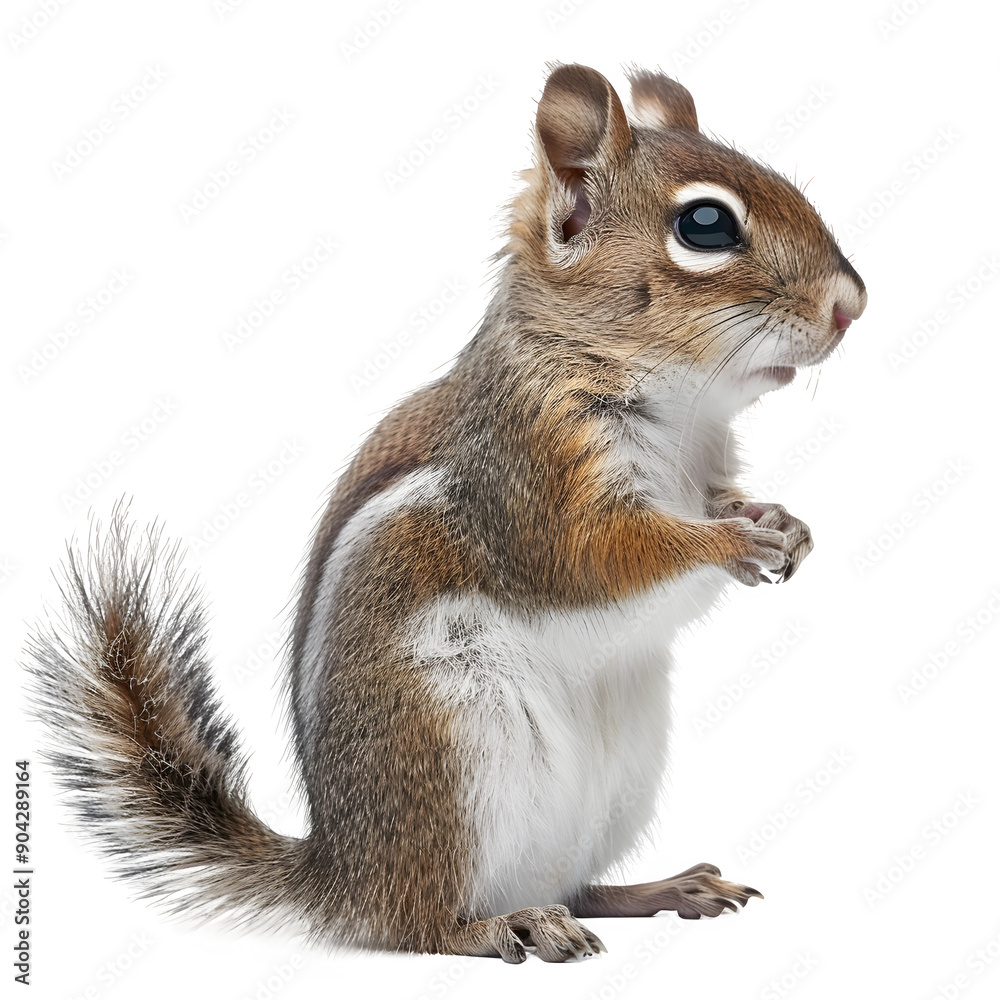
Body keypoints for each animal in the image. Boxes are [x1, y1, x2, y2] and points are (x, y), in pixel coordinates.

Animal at [26, 64, 865, 963]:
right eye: (706, 225)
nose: (852, 304)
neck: (681, 410)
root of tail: (342, 875)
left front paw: (781, 519)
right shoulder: (529, 486)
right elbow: (600, 558)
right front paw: (732, 539)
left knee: (579, 886)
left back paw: (661, 889)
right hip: (452, 755)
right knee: (418, 924)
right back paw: (506, 924)